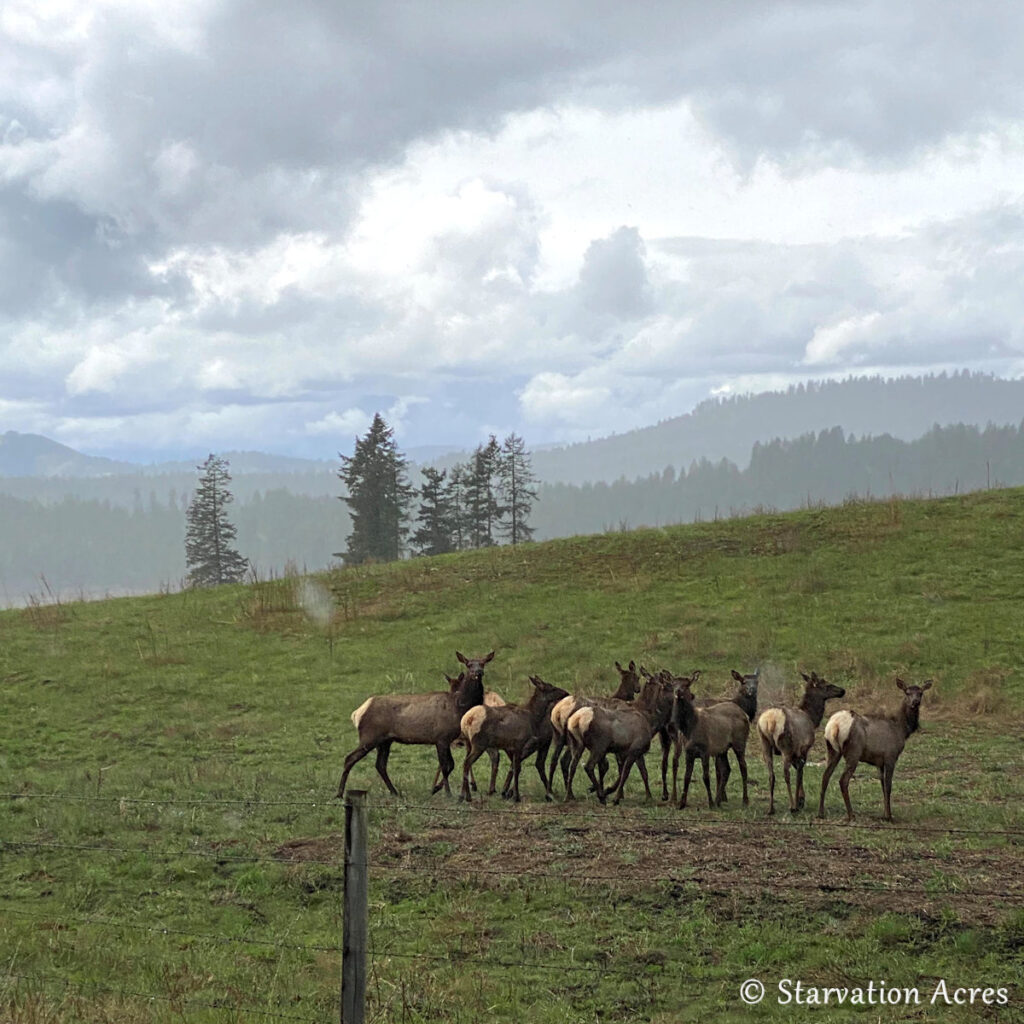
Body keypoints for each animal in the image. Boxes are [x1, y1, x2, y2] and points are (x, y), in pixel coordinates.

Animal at [335, 647, 495, 798]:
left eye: (483, 663)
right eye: (469, 664)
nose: (478, 672)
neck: (459, 707)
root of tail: (357, 713)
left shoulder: (447, 739)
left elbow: (451, 765)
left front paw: (436, 789)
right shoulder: (441, 737)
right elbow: (446, 766)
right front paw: (447, 793)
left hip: (385, 740)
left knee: (380, 765)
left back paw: (395, 792)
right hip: (370, 736)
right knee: (350, 758)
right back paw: (339, 793)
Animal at [569, 671, 679, 806]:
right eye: (668, 686)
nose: (680, 696)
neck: (650, 722)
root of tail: (576, 719)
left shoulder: (635, 751)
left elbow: (643, 772)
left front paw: (648, 796)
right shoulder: (633, 749)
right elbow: (625, 773)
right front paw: (615, 796)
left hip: (578, 744)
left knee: (573, 765)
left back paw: (571, 795)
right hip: (599, 746)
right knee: (588, 766)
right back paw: (600, 796)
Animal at [757, 671, 843, 815]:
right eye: (826, 684)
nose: (842, 690)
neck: (812, 719)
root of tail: (770, 721)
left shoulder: (795, 751)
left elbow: (798, 771)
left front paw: (801, 800)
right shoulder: (803, 748)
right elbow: (800, 773)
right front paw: (800, 801)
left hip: (765, 743)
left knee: (771, 775)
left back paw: (770, 808)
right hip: (785, 745)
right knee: (786, 774)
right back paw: (792, 806)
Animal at [819, 679, 933, 823]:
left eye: (921, 693)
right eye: (907, 692)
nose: (915, 702)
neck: (902, 729)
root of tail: (835, 725)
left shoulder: (879, 762)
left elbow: (882, 785)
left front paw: (884, 814)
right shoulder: (891, 756)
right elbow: (888, 786)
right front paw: (889, 816)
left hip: (832, 750)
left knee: (825, 776)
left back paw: (821, 813)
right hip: (853, 752)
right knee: (843, 780)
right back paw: (851, 815)